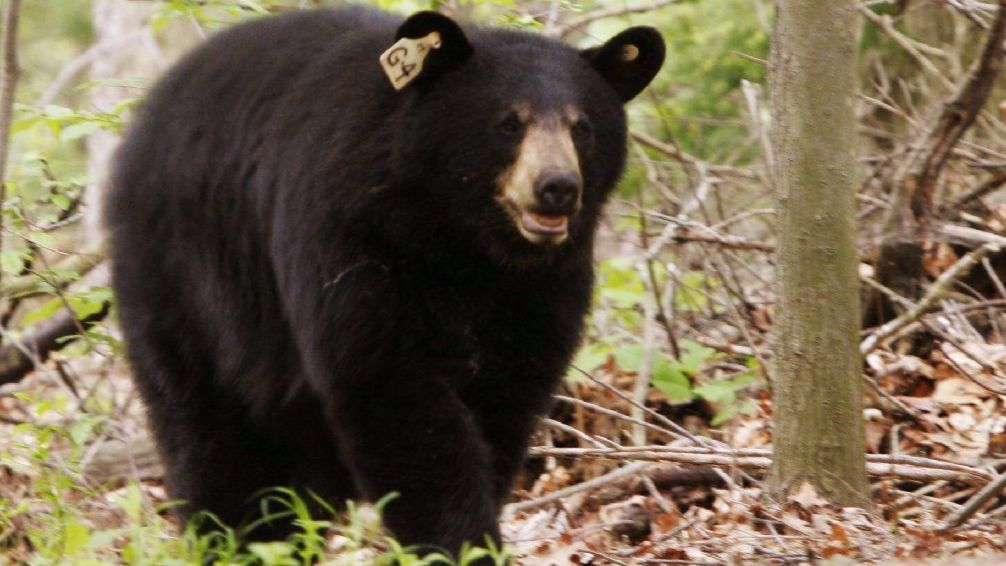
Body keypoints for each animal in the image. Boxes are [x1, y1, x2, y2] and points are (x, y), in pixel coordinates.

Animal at [105, 6, 664, 560]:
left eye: (582, 127)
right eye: (509, 122)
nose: (557, 187)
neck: (464, 240)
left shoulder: (544, 286)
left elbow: (506, 398)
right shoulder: (353, 235)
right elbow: (390, 385)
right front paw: (460, 542)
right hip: (184, 278)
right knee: (209, 432)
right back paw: (235, 537)